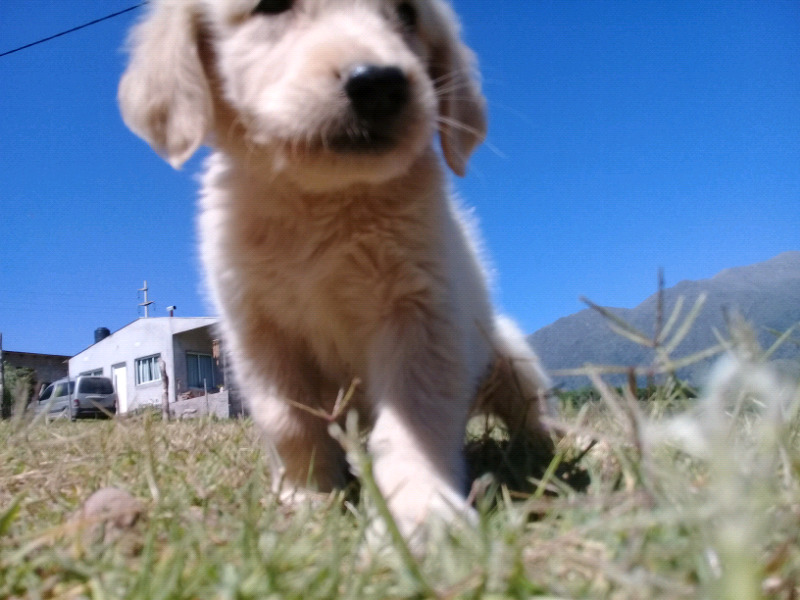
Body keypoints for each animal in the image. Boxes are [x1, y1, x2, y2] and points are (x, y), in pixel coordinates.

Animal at [120, 0, 556, 544]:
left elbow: (414, 421)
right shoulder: (257, 335)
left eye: (408, 15)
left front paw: (421, 511)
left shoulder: (421, 319)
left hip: (511, 357)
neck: (320, 200)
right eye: (270, 7)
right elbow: (288, 422)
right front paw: (306, 498)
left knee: (537, 418)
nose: (380, 83)